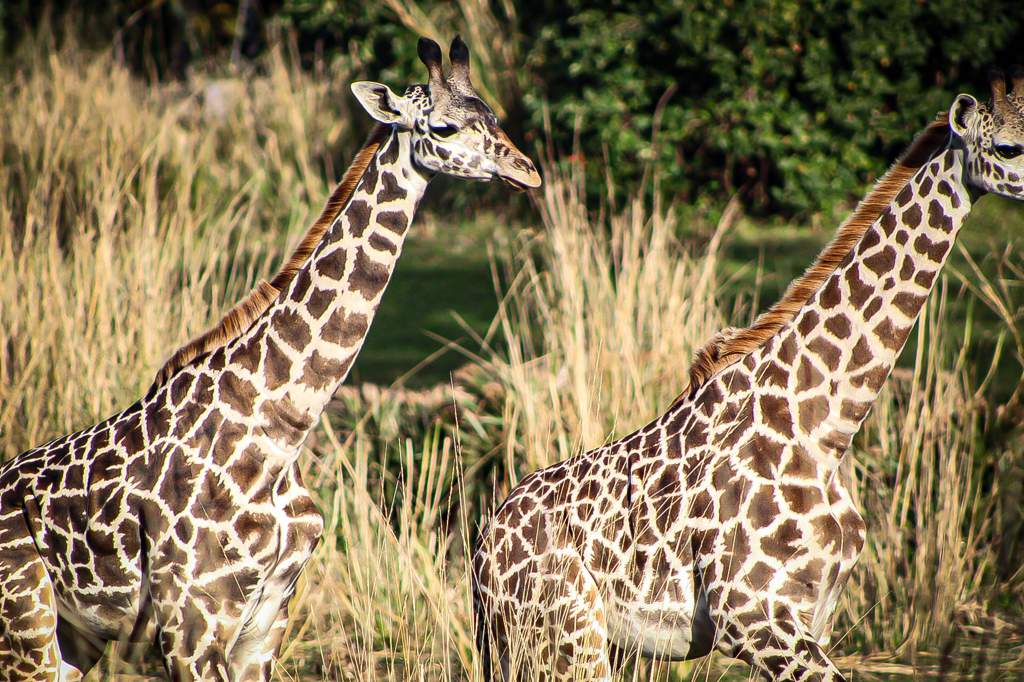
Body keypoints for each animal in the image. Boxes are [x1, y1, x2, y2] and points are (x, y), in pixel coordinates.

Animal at [0, 37, 540, 679]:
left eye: (493, 116)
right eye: (444, 126)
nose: (527, 171)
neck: (281, 430)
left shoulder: (265, 623)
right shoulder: (190, 627)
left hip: (72, 639)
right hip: (25, 627)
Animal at [471, 67, 1024, 675]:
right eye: (1007, 148)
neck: (823, 426)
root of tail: (481, 552)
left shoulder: (810, 612)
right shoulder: (751, 616)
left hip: (577, 643)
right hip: (563, 637)